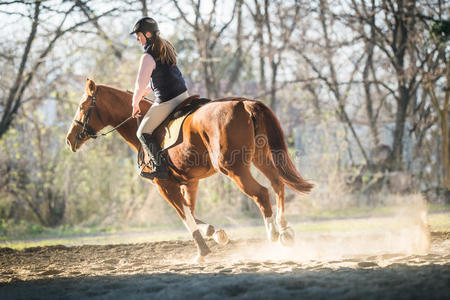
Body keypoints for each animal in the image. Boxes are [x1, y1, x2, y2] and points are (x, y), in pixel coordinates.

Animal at [67, 78, 312, 262]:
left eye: (81, 107)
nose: (70, 140)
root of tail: (244, 104)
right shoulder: (190, 182)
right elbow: (191, 212)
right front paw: (215, 233)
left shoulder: (164, 185)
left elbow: (183, 215)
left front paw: (202, 251)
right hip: (261, 158)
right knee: (278, 184)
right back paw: (285, 230)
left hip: (234, 169)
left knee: (261, 193)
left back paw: (273, 233)